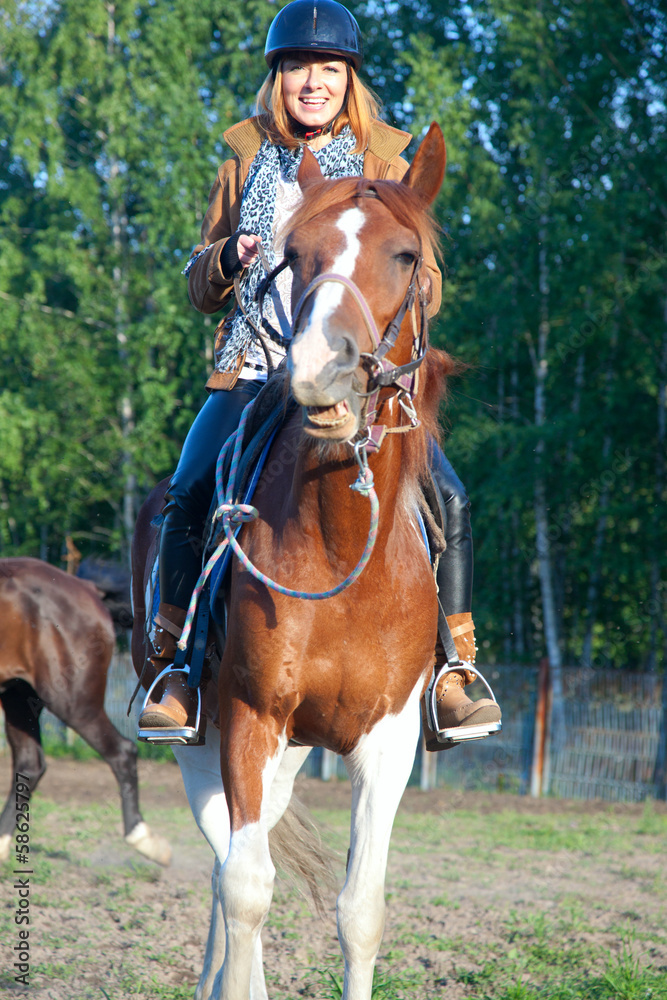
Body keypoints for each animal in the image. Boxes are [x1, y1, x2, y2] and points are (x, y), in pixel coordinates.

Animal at [0, 556, 170, 868]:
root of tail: (87, 588)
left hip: (72, 701)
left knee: (122, 752)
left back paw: (144, 839)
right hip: (19, 696)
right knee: (30, 765)